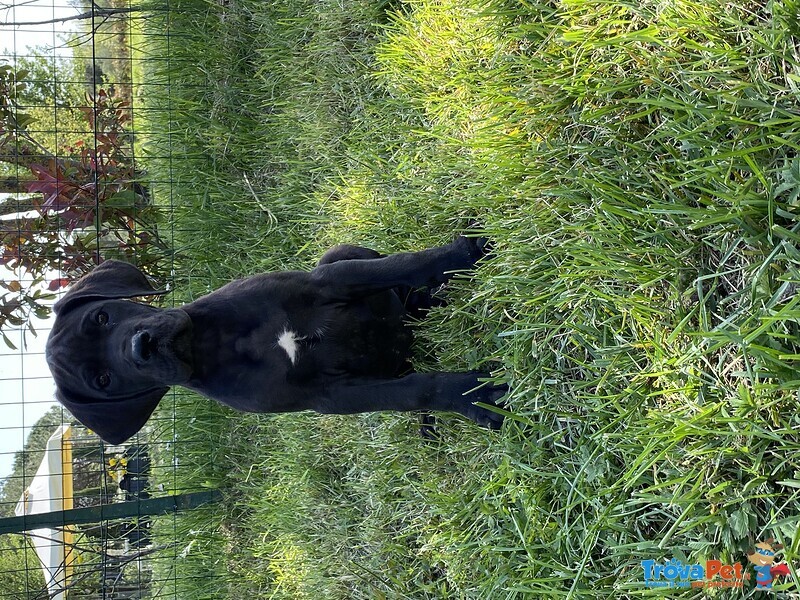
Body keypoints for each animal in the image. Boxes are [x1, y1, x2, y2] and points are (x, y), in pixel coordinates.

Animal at [45, 237, 506, 442]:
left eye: (102, 317)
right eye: (102, 380)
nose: (142, 347)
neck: (211, 343)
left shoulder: (331, 280)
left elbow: (403, 264)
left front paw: (460, 255)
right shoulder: (330, 395)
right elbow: (413, 390)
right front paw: (471, 396)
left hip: (340, 252)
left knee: (404, 292)